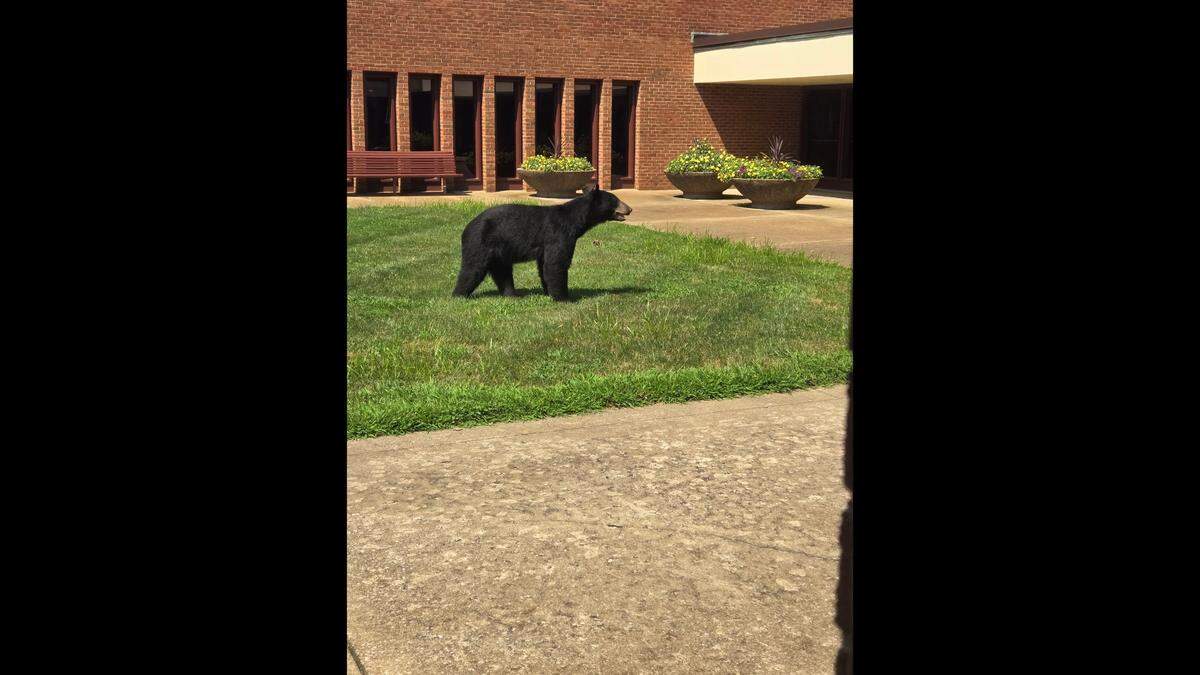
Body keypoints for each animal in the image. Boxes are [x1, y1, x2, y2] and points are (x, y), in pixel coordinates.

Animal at [452, 186, 632, 302]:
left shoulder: (546, 246)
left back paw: (512, 295)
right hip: (480, 242)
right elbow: (556, 263)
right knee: (472, 268)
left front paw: (549, 292)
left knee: (502, 271)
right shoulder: (558, 235)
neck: (574, 221)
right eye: (615, 200)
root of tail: (466, 228)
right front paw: (563, 297)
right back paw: (459, 295)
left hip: (499, 251)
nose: (630, 209)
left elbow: (544, 265)